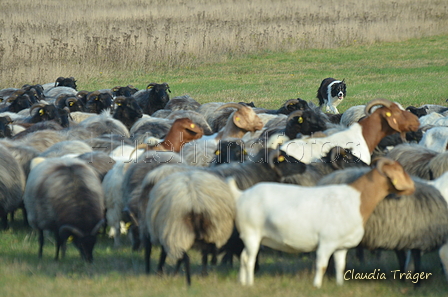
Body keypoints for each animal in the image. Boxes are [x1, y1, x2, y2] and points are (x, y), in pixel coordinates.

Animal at [231, 157, 416, 286]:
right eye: (399, 170)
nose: (413, 186)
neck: (355, 199)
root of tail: (242, 194)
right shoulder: (326, 242)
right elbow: (321, 265)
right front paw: (317, 285)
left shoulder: (341, 246)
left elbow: (340, 266)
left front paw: (340, 285)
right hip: (251, 234)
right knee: (249, 259)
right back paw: (250, 283)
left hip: (251, 237)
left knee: (243, 257)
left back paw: (241, 282)